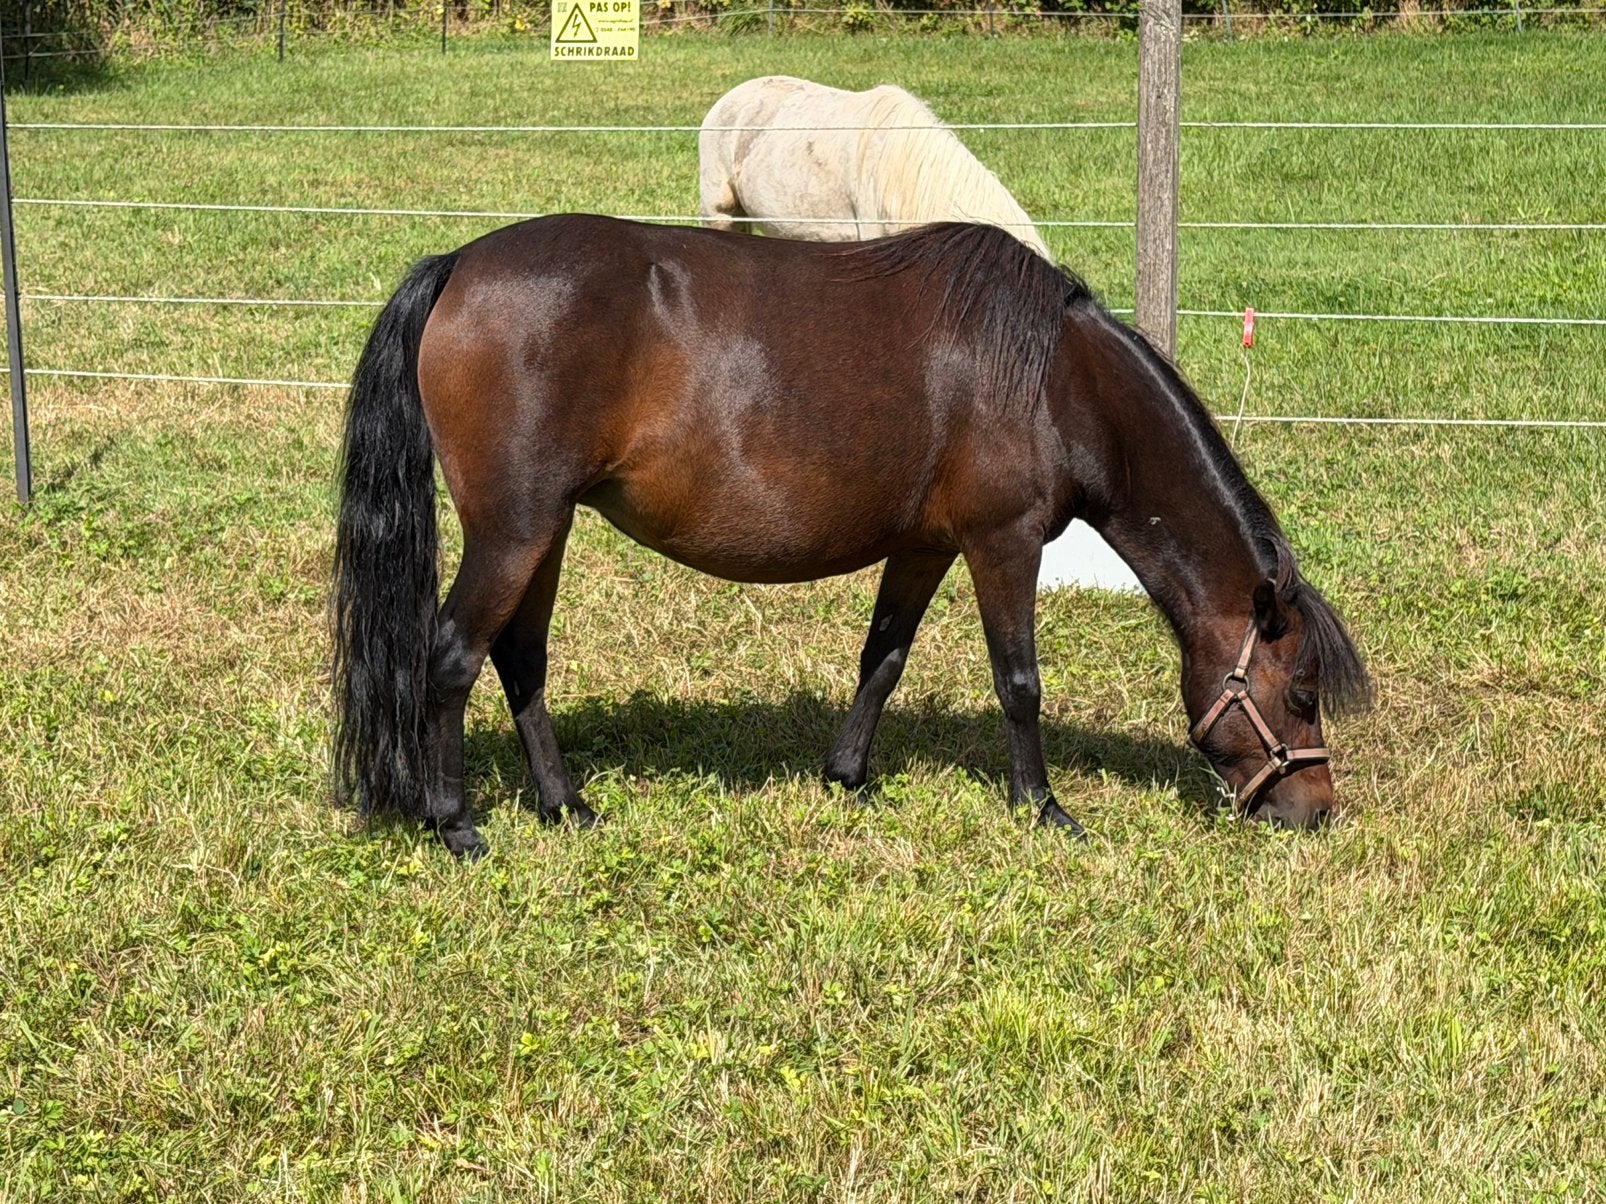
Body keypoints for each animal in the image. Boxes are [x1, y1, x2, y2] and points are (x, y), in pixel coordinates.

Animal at [331, 216, 1371, 860]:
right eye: (1301, 692)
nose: (1318, 811)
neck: (1056, 380)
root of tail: (461, 264)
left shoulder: (925, 545)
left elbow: (884, 657)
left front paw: (848, 778)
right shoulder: (1003, 543)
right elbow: (1020, 683)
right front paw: (1042, 808)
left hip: (542, 531)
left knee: (521, 659)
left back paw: (565, 805)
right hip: (512, 531)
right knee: (451, 655)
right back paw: (455, 823)